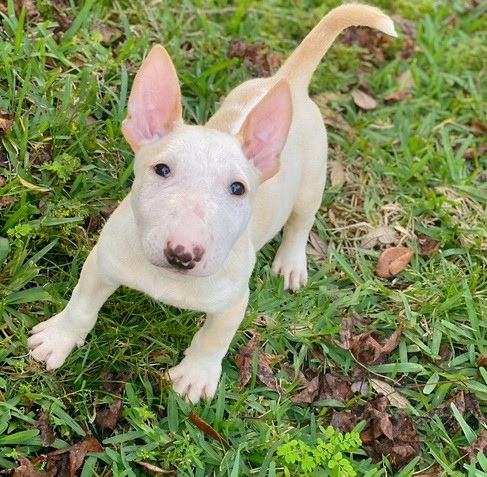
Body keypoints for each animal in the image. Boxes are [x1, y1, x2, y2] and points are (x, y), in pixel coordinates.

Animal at [28, 3, 398, 402]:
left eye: (238, 189)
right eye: (161, 169)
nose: (183, 253)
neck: (167, 280)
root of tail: (288, 82)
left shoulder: (233, 301)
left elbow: (212, 339)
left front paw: (195, 377)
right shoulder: (102, 262)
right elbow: (81, 305)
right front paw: (58, 339)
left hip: (312, 180)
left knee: (301, 221)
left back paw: (291, 262)